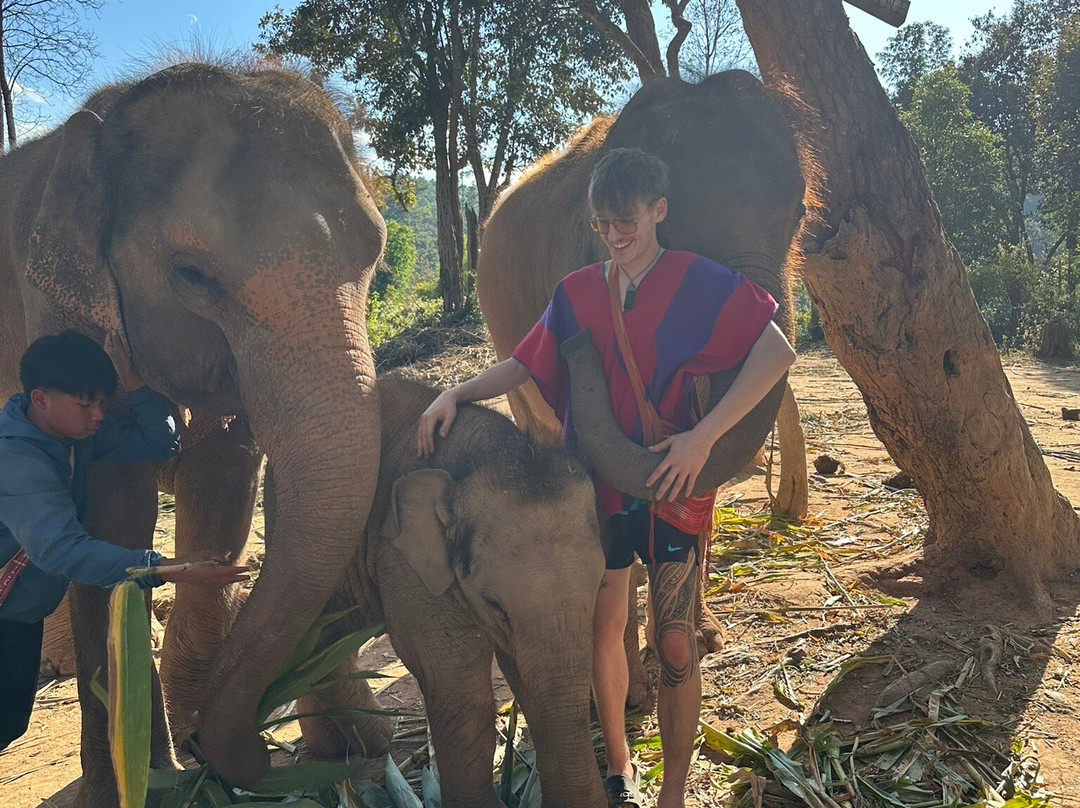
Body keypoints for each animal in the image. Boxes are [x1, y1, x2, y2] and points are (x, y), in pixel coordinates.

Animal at [0, 62, 386, 798]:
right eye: (192, 274)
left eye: (376, 248)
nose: (248, 748)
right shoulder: (61, 319)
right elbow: (112, 513)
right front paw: (146, 783)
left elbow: (223, 485)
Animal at [292, 375, 607, 808]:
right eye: (494, 604)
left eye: (599, 585)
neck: (488, 455)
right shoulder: (404, 561)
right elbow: (458, 685)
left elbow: (526, 677)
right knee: (322, 635)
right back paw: (368, 745)